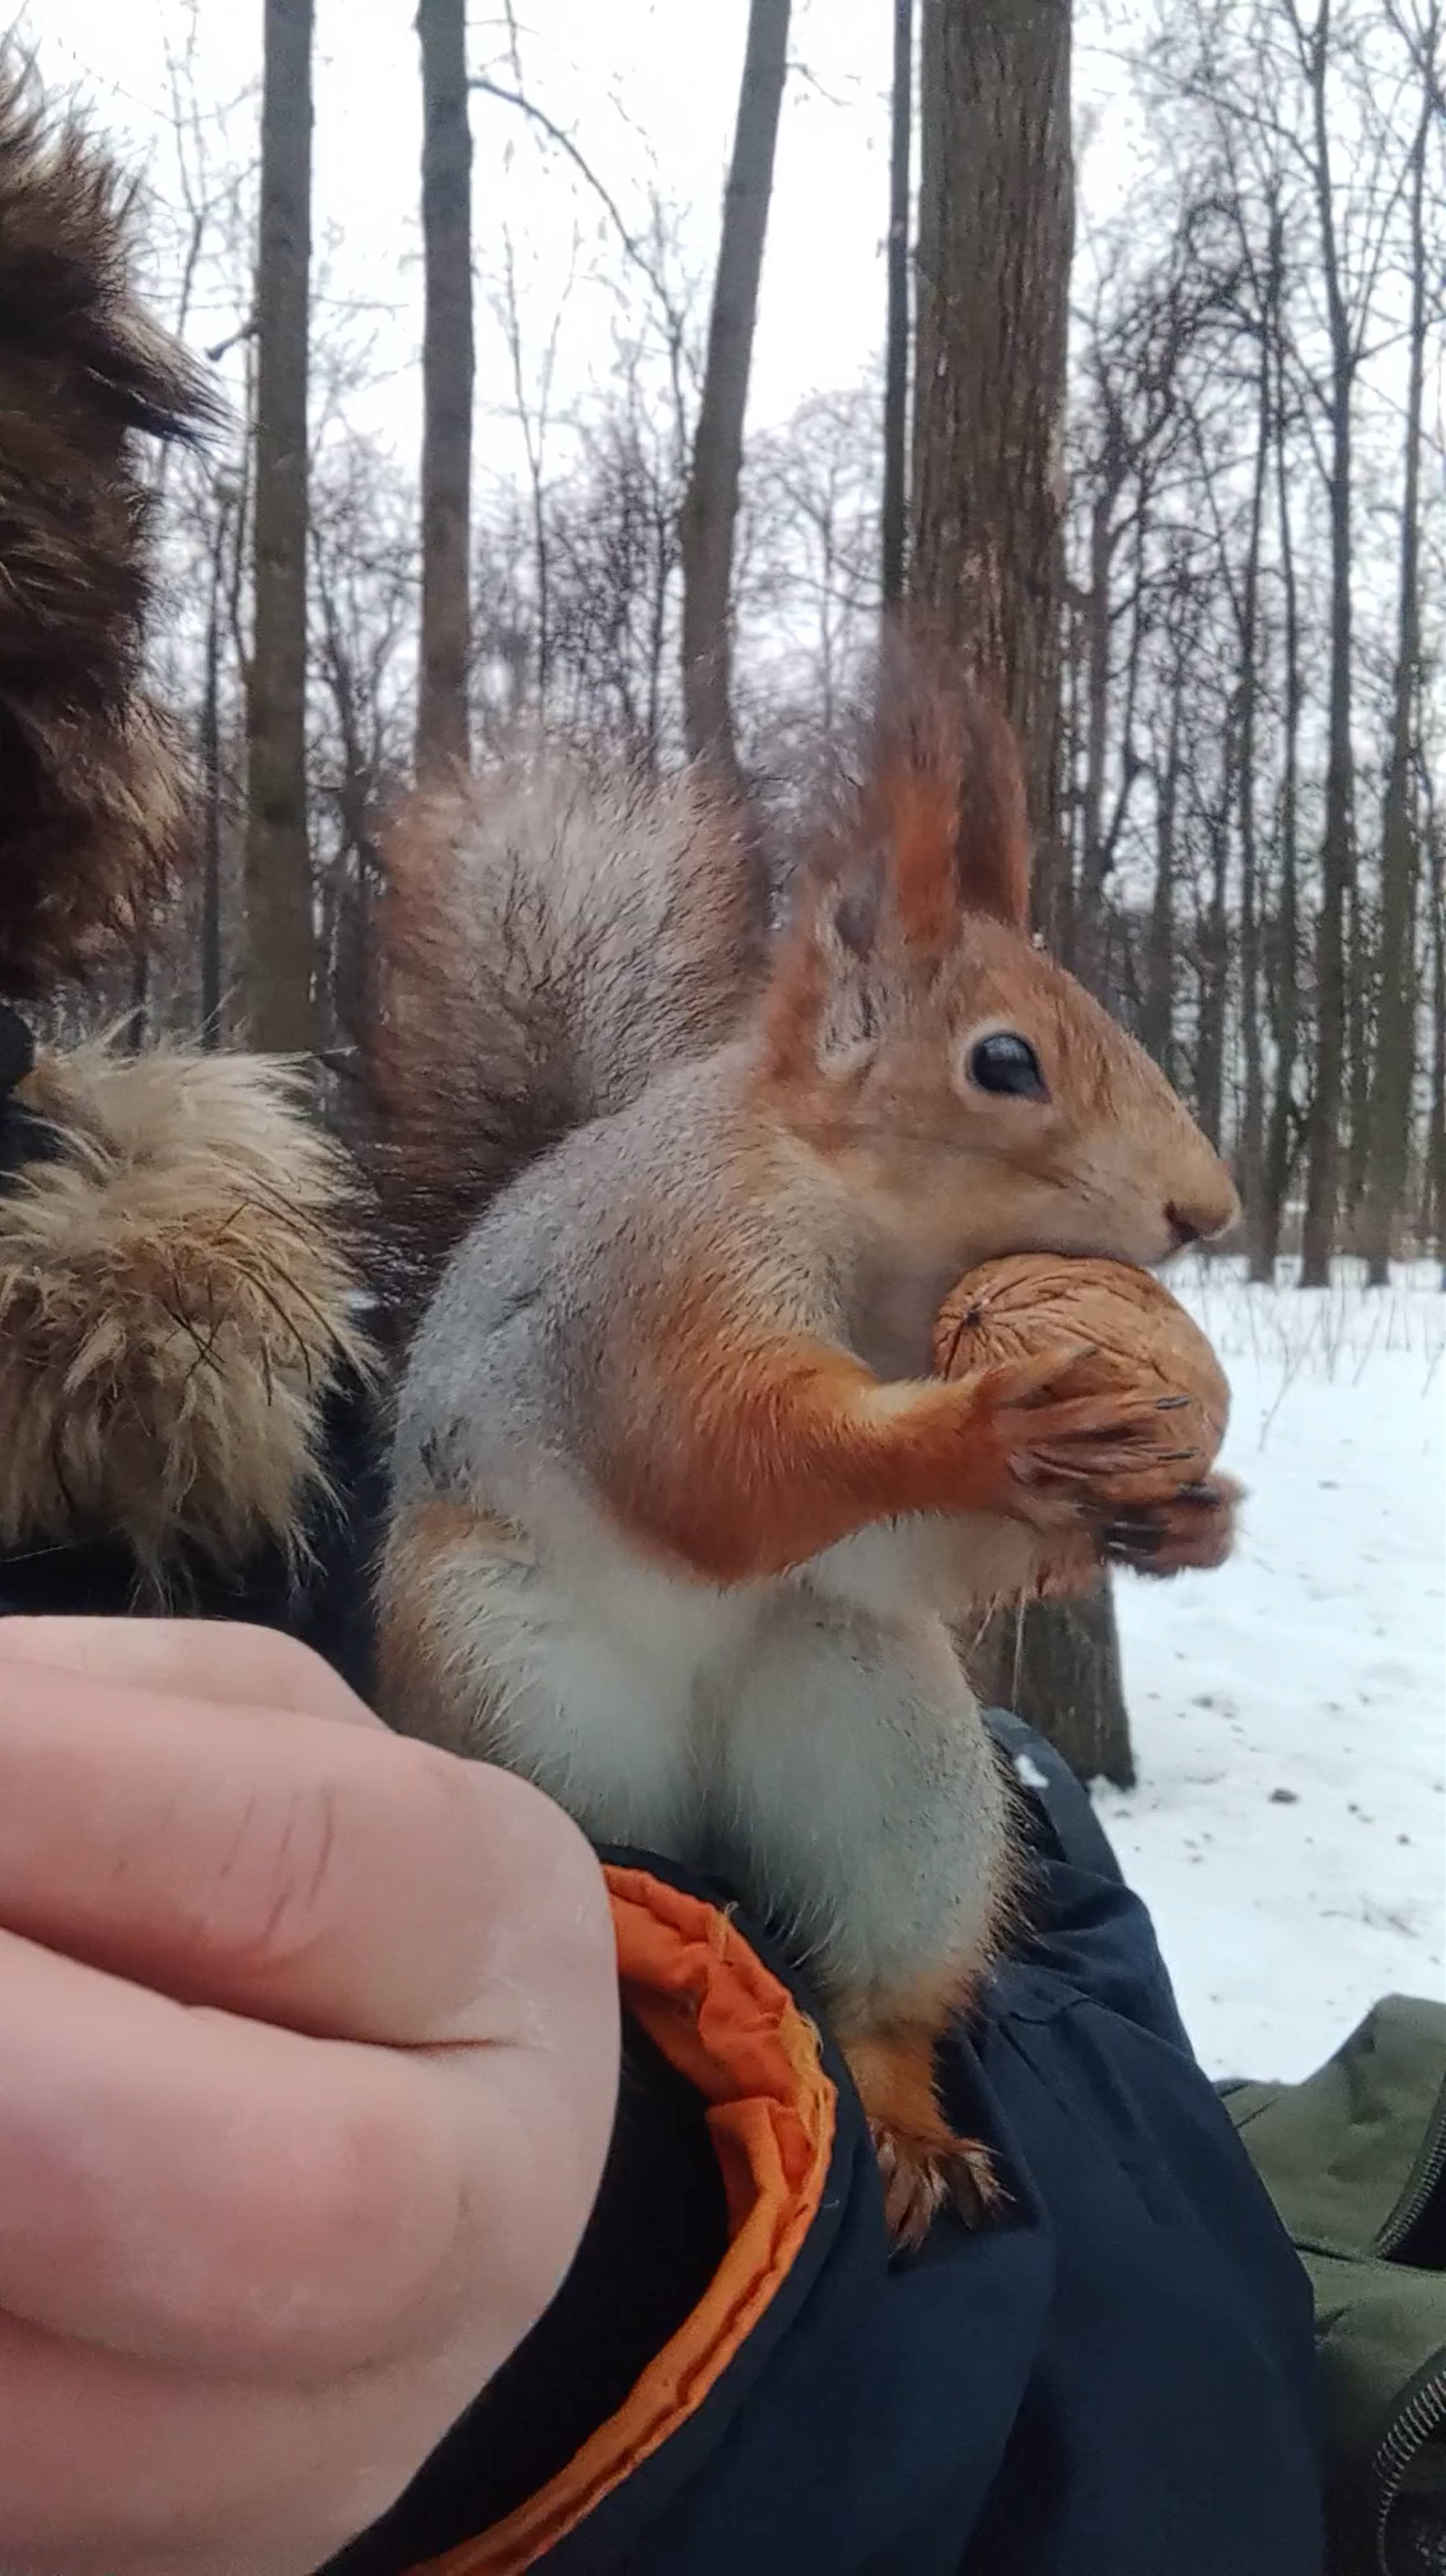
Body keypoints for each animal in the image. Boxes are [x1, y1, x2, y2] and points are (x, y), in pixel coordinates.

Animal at [375, 664, 1240, 2246]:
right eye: (1005, 1061)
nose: (1208, 1212)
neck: (894, 1249)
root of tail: (705, 1815)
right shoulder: (668, 1276)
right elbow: (728, 1456)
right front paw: (987, 1425)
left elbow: (904, 1548)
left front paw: (1180, 1518)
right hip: (514, 1693)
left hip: (894, 1755)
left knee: (882, 1991)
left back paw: (904, 2128)